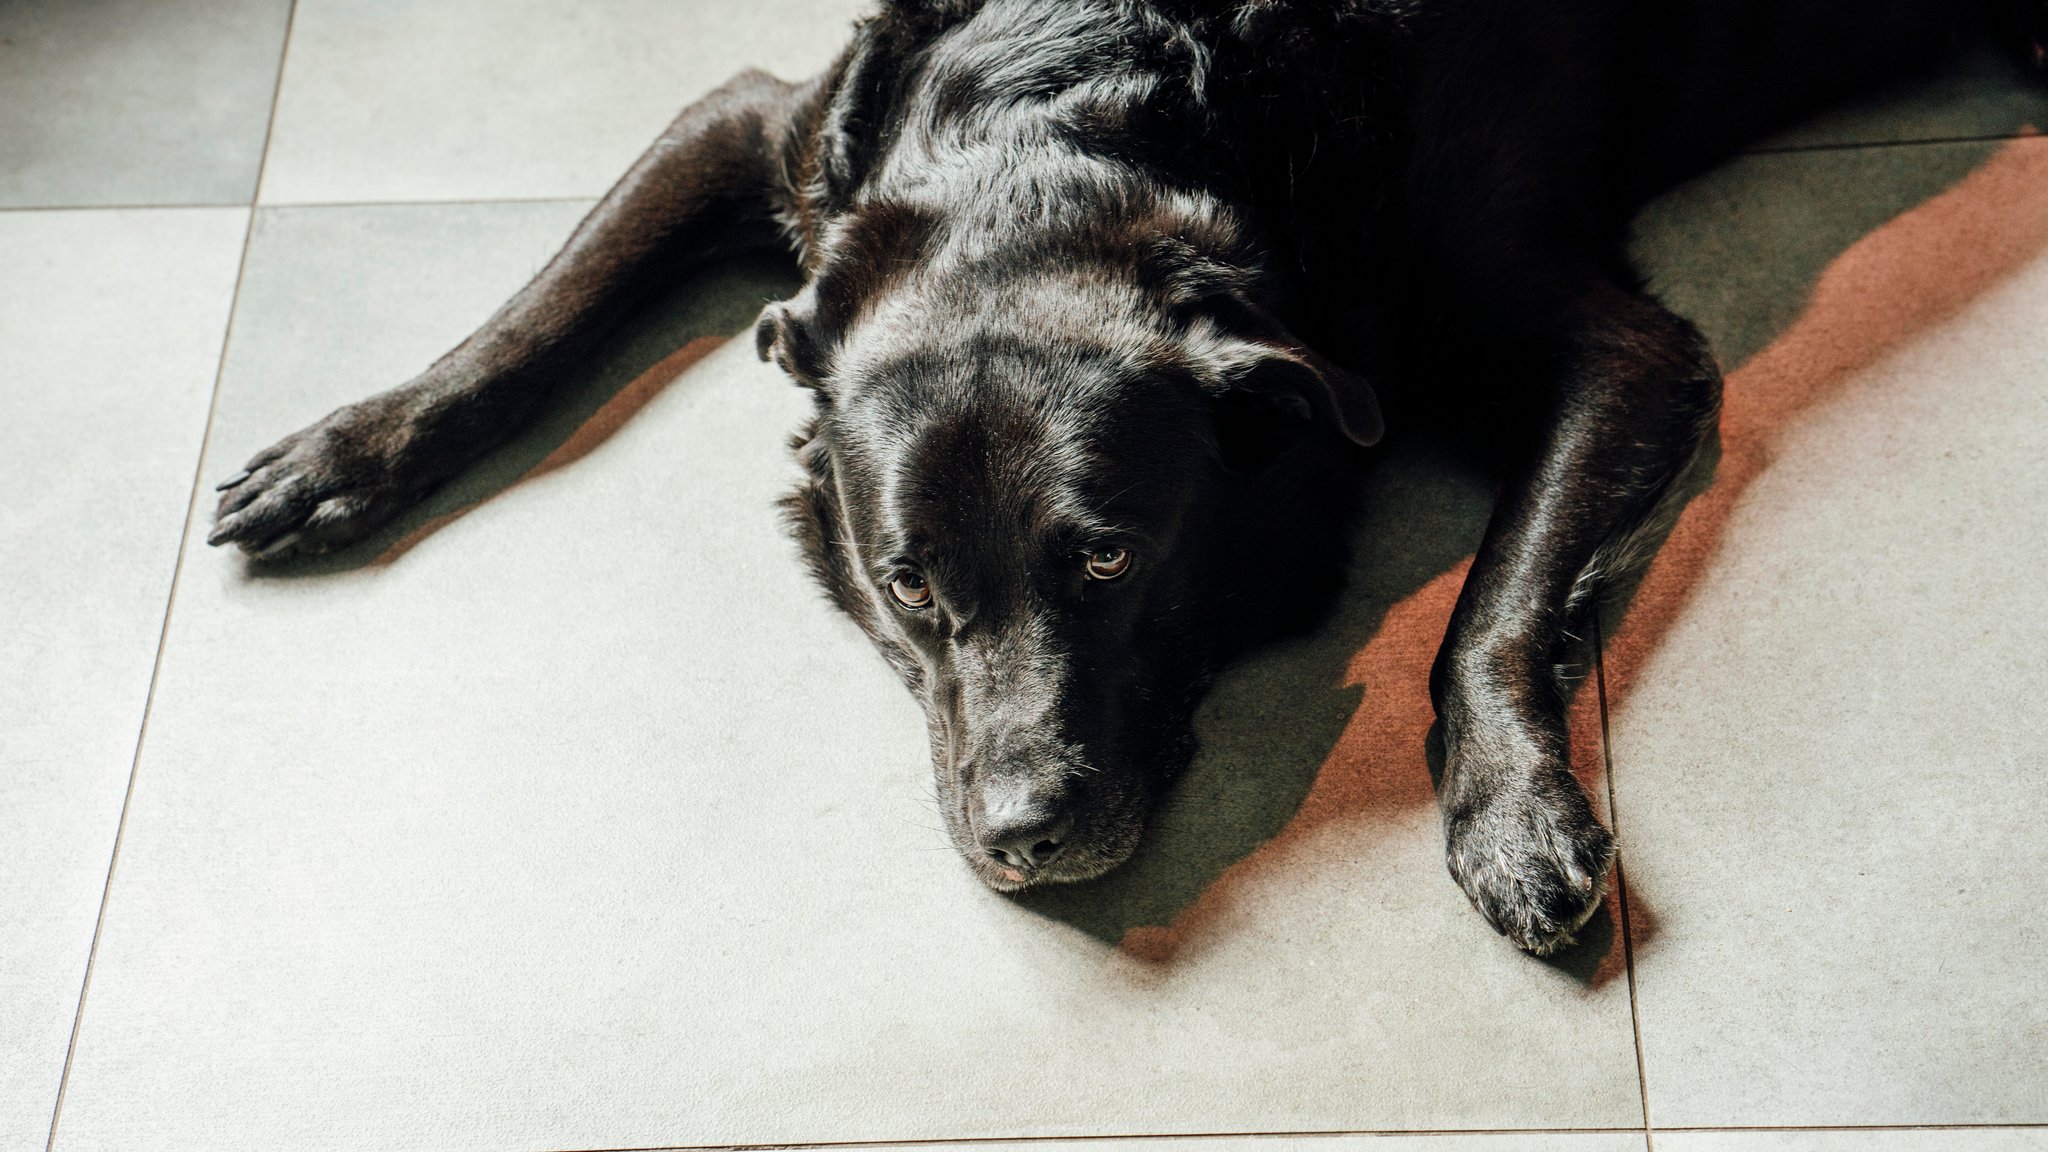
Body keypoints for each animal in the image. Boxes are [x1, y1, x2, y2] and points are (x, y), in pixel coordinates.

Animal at [211, 0, 2048, 951]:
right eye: (909, 584)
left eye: (1107, 560)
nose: (1025, 835)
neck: (1085, 110)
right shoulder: (760, 127)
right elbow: (533, 316)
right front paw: (344, 449)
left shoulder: (1612, 348)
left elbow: (1493, 610)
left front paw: (1515, 816)